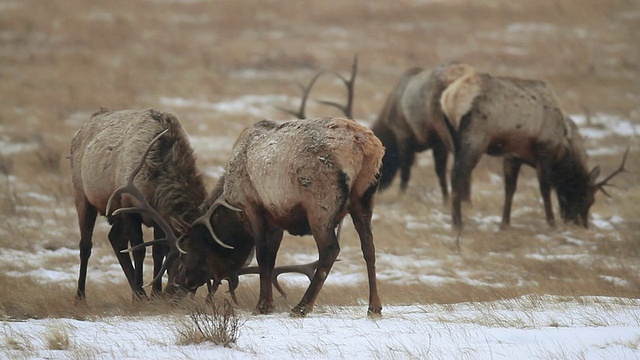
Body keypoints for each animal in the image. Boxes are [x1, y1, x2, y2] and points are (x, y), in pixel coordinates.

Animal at [128, 116, 384, 316]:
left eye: (185, 253)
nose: (174, 289)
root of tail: (366, 147)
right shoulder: (277, 217)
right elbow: (271, 258)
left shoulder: (253, 206)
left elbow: (263, 256)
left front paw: (264, 304)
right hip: (364, 200)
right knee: (369, 248)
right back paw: (374, 306)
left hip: (319, 204)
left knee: (330, 250)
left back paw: (301, 307)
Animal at [370, 62, 476, 202]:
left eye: (379, 162)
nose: (377, 188)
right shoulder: (436, 142)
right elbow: (440, 171)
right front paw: (445, 199)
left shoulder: (403, 133)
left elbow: (406, 170)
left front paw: (401, 195)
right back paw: (467, 200)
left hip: (445, 127)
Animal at [440, 66, 632, 232]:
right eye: (589, 199)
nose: (582, 225)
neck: (562, 148)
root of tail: (449, 97)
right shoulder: (544, 148)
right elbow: (545, 187)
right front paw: (551, 223)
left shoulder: (512, 155)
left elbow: (510, 189)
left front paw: (504, 224)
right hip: (475, 137)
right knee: (457, 175)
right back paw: (458, 225)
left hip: (454, 137)